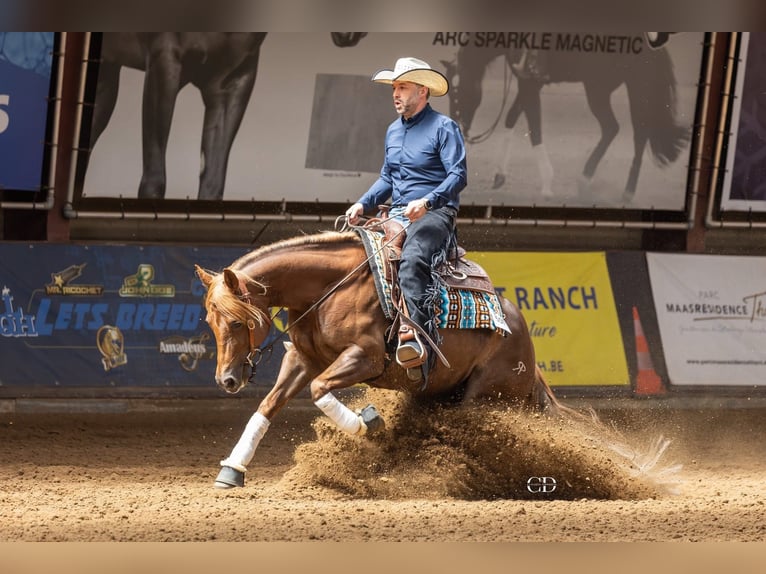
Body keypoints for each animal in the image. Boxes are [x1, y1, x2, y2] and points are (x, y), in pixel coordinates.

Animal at [195, 229, 564, 489]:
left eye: (237, 322)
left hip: (486, 398)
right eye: (210, 321)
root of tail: (522, 338)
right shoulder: (302, 359)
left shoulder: (365, 358)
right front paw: (232, 470)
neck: (329, 288)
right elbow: (268, 406)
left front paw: (366, 421)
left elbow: (319, 388)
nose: (226, 379)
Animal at [442, 34, 690, 203]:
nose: (458, 126)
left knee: (634, 131)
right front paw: (499, 175)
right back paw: (591, 182)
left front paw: (547, 184)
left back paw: (622, 190)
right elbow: (512, 118)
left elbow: (534, 127)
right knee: (618, 129)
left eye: (456, 92)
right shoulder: (528, 82)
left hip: (624, 88)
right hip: (608, 88)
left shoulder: (531, 81)